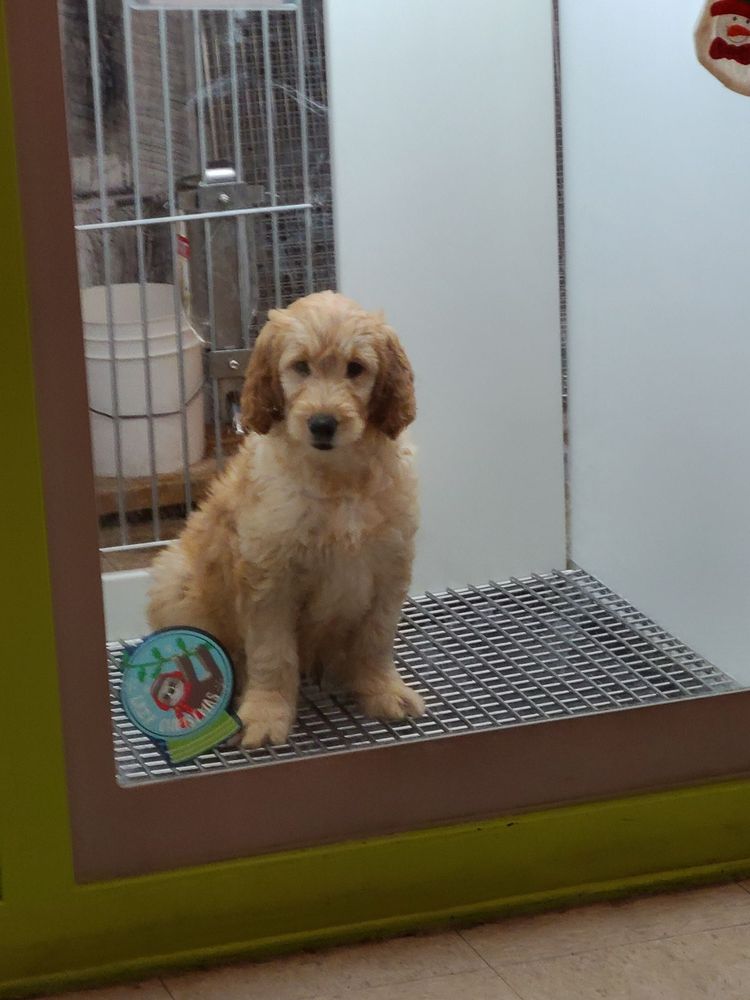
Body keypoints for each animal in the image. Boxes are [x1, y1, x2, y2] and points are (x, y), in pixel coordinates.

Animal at [147, 290, 426, 748]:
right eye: (301, 367)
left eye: (355, 369)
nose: (323, 424)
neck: (337, 478)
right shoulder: (269, 579)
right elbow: (272, 655)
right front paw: (264, 715)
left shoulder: (389, 566)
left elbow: (375, 640)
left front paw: (385, 691)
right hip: (176, 578)